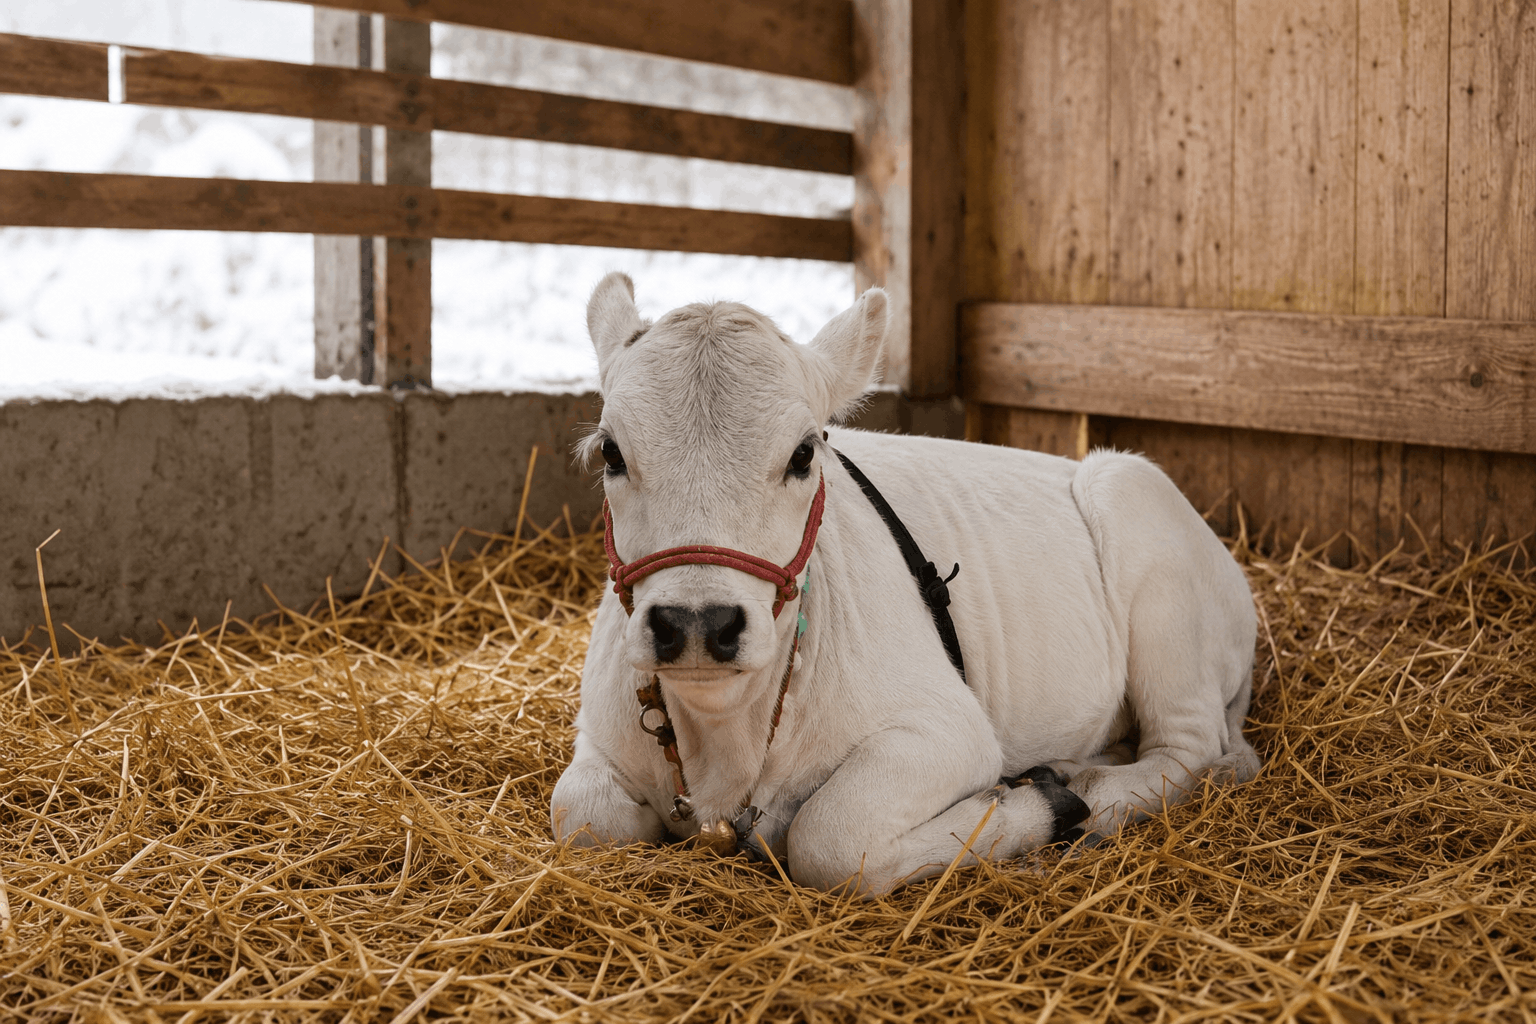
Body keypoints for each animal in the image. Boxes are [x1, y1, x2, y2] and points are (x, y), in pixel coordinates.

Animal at [550, 273, 1261, 895]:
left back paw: (1087, 791)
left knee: (1187, 748)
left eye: (803, 454)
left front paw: (1036, 805)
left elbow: (831, 837)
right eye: (611, 451)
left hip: (1148, 542)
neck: (723, 738)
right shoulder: (600, 733)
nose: (698, 623)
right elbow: (580, 812)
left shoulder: (950, 730)